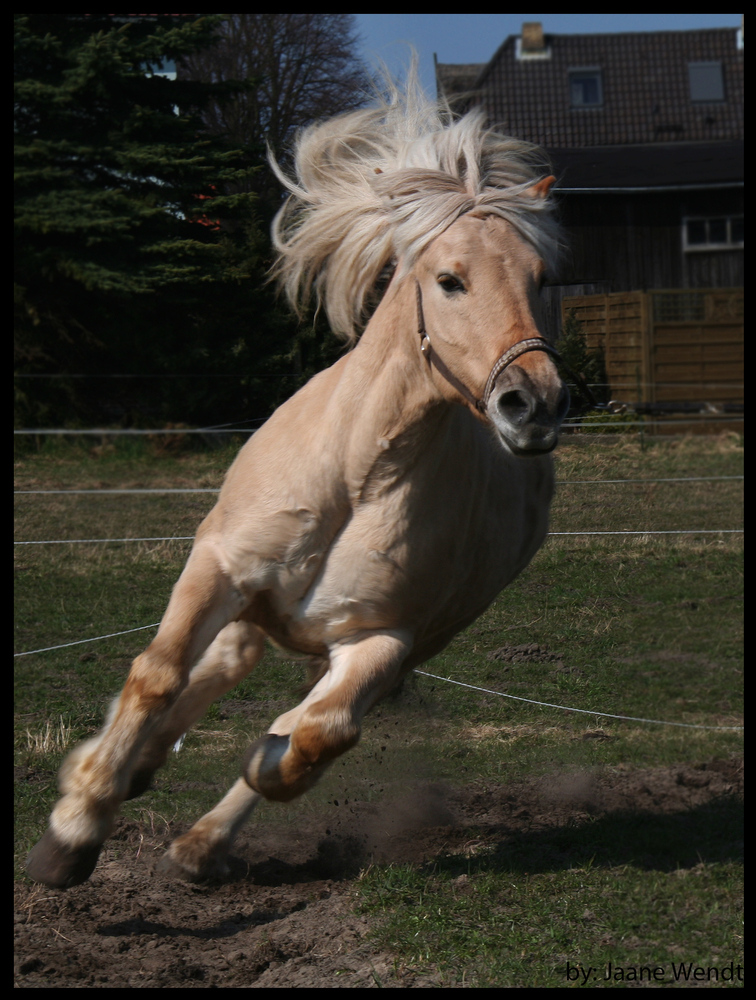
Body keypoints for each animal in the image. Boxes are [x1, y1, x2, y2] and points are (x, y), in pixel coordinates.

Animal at [29, 82, 568, 888]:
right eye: (450, 280)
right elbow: (157, 674)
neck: (358, 474)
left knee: (284, 705)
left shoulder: (384, 639)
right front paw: (72, 830)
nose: (534, 405)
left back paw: (197, 836)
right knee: (219, 666)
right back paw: (125, 766)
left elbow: (313, 738)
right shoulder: (219, 567)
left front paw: (245, 777)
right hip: (253, 602)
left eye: (541, 279)